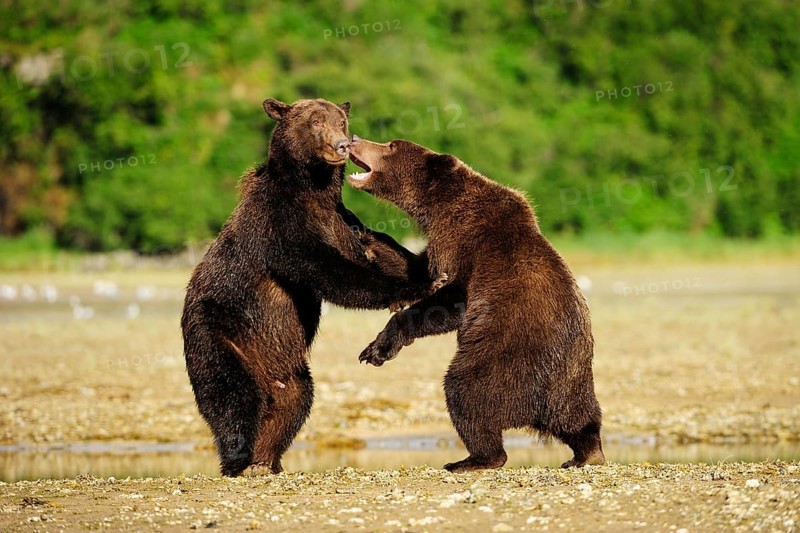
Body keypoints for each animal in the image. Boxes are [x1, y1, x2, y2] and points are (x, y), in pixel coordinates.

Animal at [181, 99, 441, 477]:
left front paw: (425, 272)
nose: (342, 145)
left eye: (341, 120)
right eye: (316, 121)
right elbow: (328, 271)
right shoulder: (280, 226)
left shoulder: (340, 220)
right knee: (231, 395)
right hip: (218, 335)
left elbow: (379, 250)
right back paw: (239, 461)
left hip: (288, 368)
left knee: (295, 402)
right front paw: (415, 288)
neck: (312, 190)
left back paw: (266, 459)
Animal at [347, 136, 605, 473]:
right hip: (575, 384)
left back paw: (472, 458)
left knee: (466, 393)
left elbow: (449, 300)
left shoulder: (470, 245)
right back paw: (585, 453)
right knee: (581, 419)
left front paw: (377, 349)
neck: (439, 206)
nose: (354, 139)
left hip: (503, 362)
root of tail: (541, 409)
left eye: (391, 145)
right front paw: (363, 233)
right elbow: (417, 269)